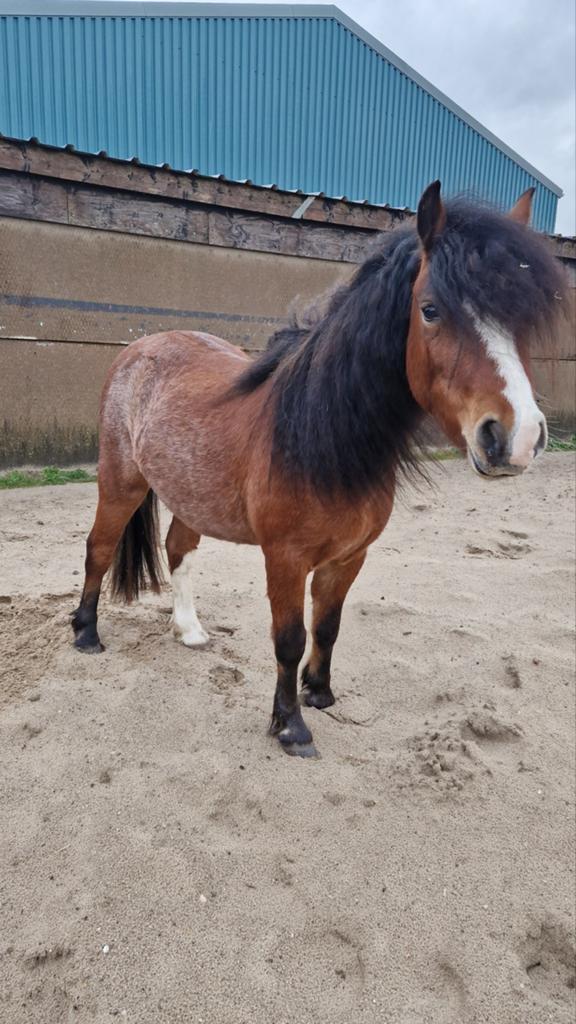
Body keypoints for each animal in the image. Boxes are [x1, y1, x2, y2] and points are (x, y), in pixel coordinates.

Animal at [71, 181, 565, 758]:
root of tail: (140, 348)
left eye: (521, 318)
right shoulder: (285, 558)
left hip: (189, 493)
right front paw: (290, 725)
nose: (517, 438)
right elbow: (289, 638)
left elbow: (327, 627)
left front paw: (320, 693)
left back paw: (189, 630)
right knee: (100, 548)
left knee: (178, 550)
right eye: (430, 309)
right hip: (121, 481)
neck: (321, 434)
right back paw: (86, 633)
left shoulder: (349, 556)